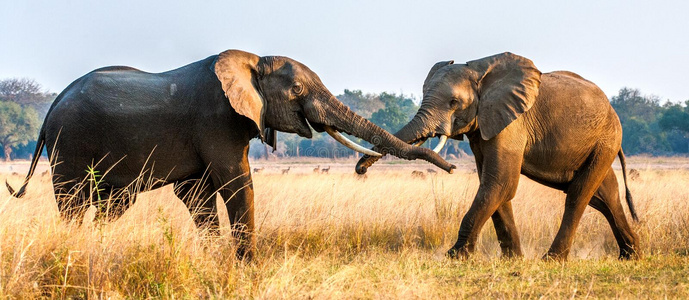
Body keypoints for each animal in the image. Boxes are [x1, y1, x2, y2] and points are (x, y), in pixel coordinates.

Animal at [354, 51, 640, 260]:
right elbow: (494, 184)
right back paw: (632, 254)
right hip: (600, 144)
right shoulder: (484, 125)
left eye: (453, 103)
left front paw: (454, 256)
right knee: (604, 196)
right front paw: (513, 260)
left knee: (579, 195)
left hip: (606, 140)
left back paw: (553, 259)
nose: (360, 169)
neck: (478, 69)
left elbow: (501, 182)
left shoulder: (512, 122)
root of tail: (612, 110)